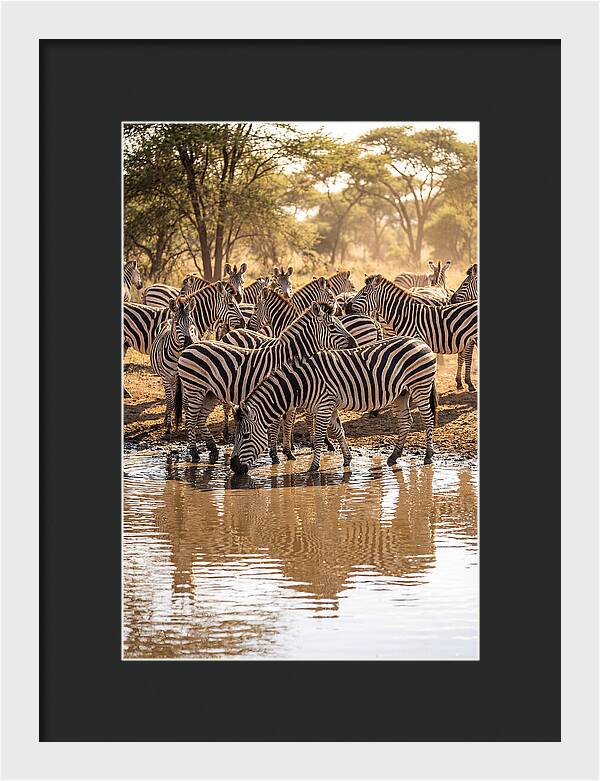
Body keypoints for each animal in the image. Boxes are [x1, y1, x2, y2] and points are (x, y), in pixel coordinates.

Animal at [150, 298, 199, 439]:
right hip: (167, 378)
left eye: (191, 322)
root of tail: (168, 320)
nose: (189, 343)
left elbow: (186, 402)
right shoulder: (166, 377)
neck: (178, 355)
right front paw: (168, 428)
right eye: (177, 324)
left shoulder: (188, 379)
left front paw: (188, 423)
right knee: (169, 398)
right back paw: (167, 418)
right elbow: (171, 401)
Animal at [176, 302, 357, 463]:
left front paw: (288, 452)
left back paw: (213, 449)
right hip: (195, 389)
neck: (287, 358)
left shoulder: (290, 394)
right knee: (191, 419)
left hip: (210, 393)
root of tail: (189, 348)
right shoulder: (277, 392)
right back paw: (194, 454)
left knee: (200, 419)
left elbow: (288, 422)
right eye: (332, 327)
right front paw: (275, 455)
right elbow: (277, 424)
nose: (355, 344)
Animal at [230, 335, 438, 475]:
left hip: (420, 386)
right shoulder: (329, 406)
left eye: (246, 436)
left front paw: (313, 467)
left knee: (427, 419)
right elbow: (339, 432)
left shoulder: (324, 405)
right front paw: (347, 459)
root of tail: (420, 342)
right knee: (406, 422)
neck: (303, 383)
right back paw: (394, 455)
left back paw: (428, 455)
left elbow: (319, 438)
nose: (233, 466)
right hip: (401, 394)